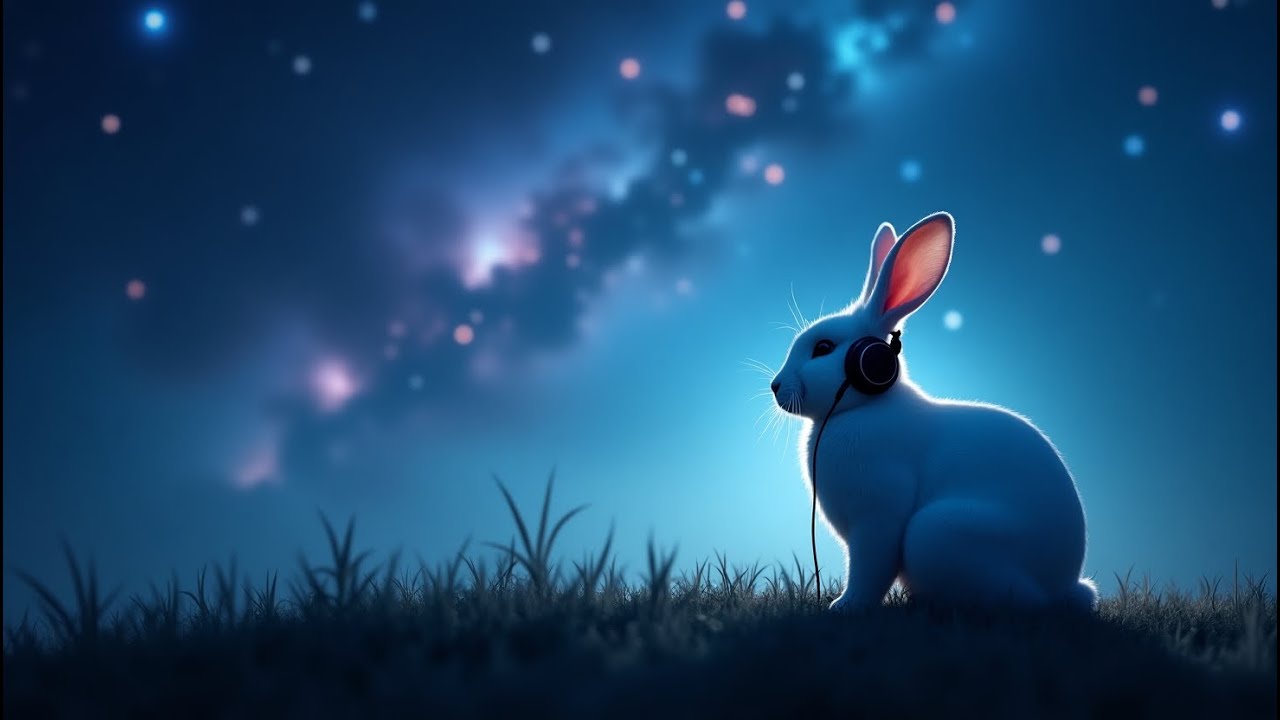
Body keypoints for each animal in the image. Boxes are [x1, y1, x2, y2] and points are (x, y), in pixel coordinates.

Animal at [770, 211, 1098, 612]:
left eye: (823, 348)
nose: (775, 387)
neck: (864, 406)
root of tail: (1063, 584)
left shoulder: (878, 517)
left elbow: (870, 570)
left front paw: (846, 606)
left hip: (937, 530)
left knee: (1024, 601)